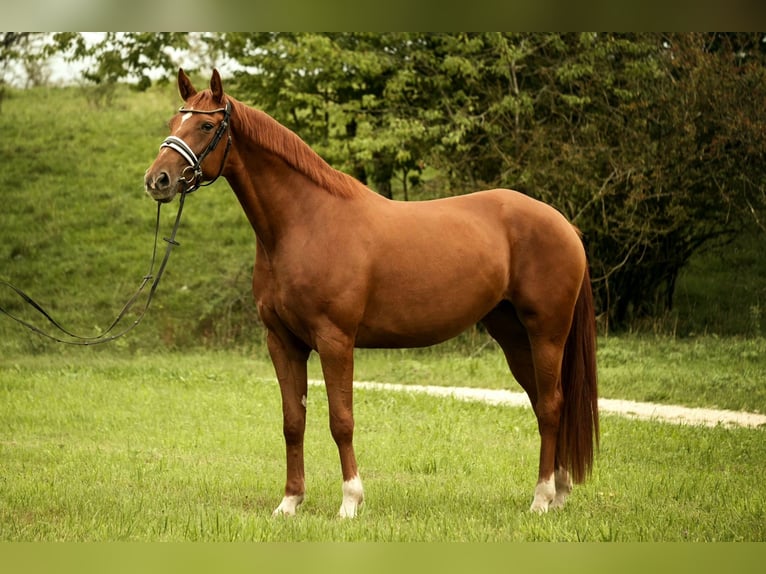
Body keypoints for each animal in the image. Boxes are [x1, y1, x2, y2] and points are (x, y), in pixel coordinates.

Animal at [145, 69, 599, 518]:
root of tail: (564, 225)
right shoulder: (283, 342)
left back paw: (541, 498)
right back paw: (559, 492)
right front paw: (290, 501)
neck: (305, 223)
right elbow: (293, 422)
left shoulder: (335, 340)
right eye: (173, 121)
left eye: (206, 126)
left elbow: (341, 420)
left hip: (546, 334)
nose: (157, 180)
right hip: (513, 336)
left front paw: (350, 501)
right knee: (544, 403)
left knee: (552, 406)